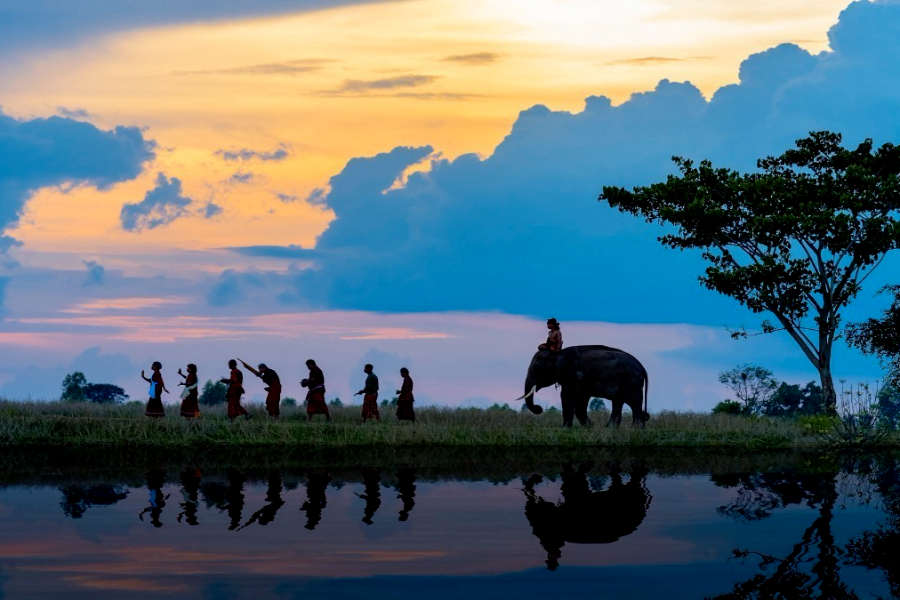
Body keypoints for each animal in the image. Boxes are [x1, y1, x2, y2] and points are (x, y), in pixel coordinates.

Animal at [516, 342, 652, 426]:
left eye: (539, 370)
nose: (539, 408)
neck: (560, 353)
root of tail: (642, 368)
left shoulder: (574, 375)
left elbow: (567, 396)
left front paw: (566, 428)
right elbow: (581, 401)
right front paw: (590, 427)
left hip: (632, 382)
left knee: (634, 404)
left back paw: (635, 430)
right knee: (618, 403)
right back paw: (609, 428)